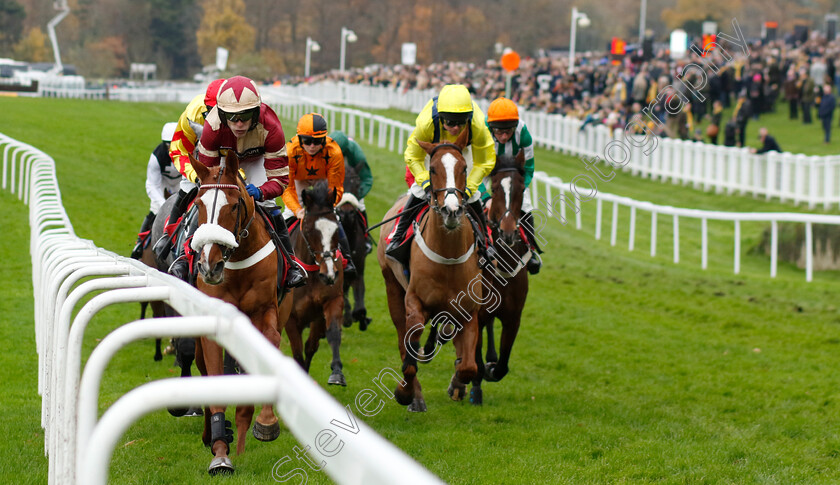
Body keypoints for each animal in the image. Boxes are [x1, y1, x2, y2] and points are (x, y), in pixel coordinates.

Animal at [189, 150, 288, 472]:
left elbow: (271, 343)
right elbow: (215, 386)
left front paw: (266, 422)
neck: (237, 261)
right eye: (198, 205)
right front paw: (220, 453)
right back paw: (212, 436)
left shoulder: (266, 311)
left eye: (234, 206)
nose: (210, 266)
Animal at [282, 181, 348, 386]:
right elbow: (297, 353)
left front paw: (337, 373)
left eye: (336, 229)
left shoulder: (329, 303)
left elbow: (328, 337)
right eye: (310, 231)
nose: (329, 274)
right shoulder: (291, 318)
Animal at [378, 126, 482, 410]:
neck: (448, 257)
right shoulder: (414, 301)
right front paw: (405, 393)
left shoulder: (469, 311)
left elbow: (468, 367)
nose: (451, 211)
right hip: (392, 287)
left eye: (464, 167)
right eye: (433, 169)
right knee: (402, 337)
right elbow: (409, 354)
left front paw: (457, 383)